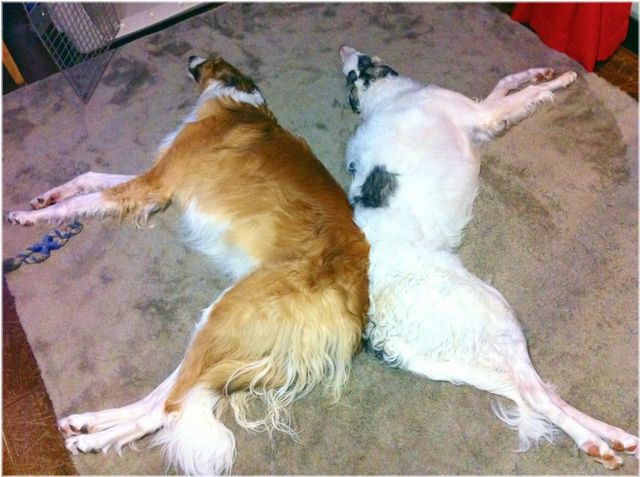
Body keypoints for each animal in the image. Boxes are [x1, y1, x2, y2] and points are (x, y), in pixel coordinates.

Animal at [6, 55, 370, 475]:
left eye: (209, 58)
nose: (190, 59)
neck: (235, 102)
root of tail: (355, 313)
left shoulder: (155, 184)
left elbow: (84, 198)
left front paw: (26, 216)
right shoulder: (155, 180)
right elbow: (88, 177)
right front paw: (44, 198)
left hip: (225, 313)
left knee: (166, 409)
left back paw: (92, 440)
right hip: (221, 330)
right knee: (165, 396)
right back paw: (89, 423)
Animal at [338, 45, 638, 470]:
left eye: (356, 67)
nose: (344, 49)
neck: (387, 98)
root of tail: (378, 325)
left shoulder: (480, 116)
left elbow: (508, 81)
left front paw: (542, 71)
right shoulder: (480, 115)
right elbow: (521, 94)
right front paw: (562, 78)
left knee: (539, 392)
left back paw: (614, 436)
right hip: (496, 314)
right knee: (537, 395)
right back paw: (597, 443)